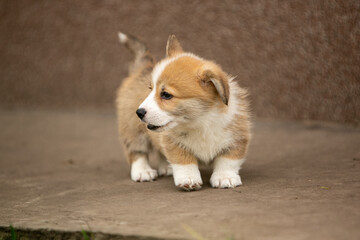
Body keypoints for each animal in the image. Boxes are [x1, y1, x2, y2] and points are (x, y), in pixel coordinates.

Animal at [116, 33, 250, 191]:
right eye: (150, 89)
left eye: (166, 95)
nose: (139, 112)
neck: (201, 121)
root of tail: (142, 68)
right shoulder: (173, 143)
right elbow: (184, 161)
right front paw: (189, 179)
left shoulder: (237, 139)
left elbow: (227, 161)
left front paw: (225, 177)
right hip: (133, 131)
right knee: (137, 152)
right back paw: (143, 172)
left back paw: (166, 168)